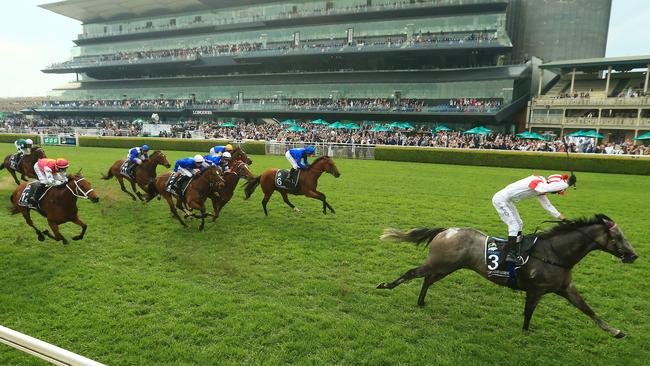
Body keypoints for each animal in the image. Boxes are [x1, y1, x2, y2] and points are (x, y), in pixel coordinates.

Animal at [378, 214, 636, 338]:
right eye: (618, 237)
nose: (633, 255)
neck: (554, 254)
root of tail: (446, 230)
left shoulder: (565, 288)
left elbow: (588, 310)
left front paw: (616, 331)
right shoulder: (536, 290)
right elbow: (528, 312)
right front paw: (525, 332)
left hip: (446, 267)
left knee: (427, 280)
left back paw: (421, 301)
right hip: (439, 263)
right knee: (413, 273)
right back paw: (386, 285)